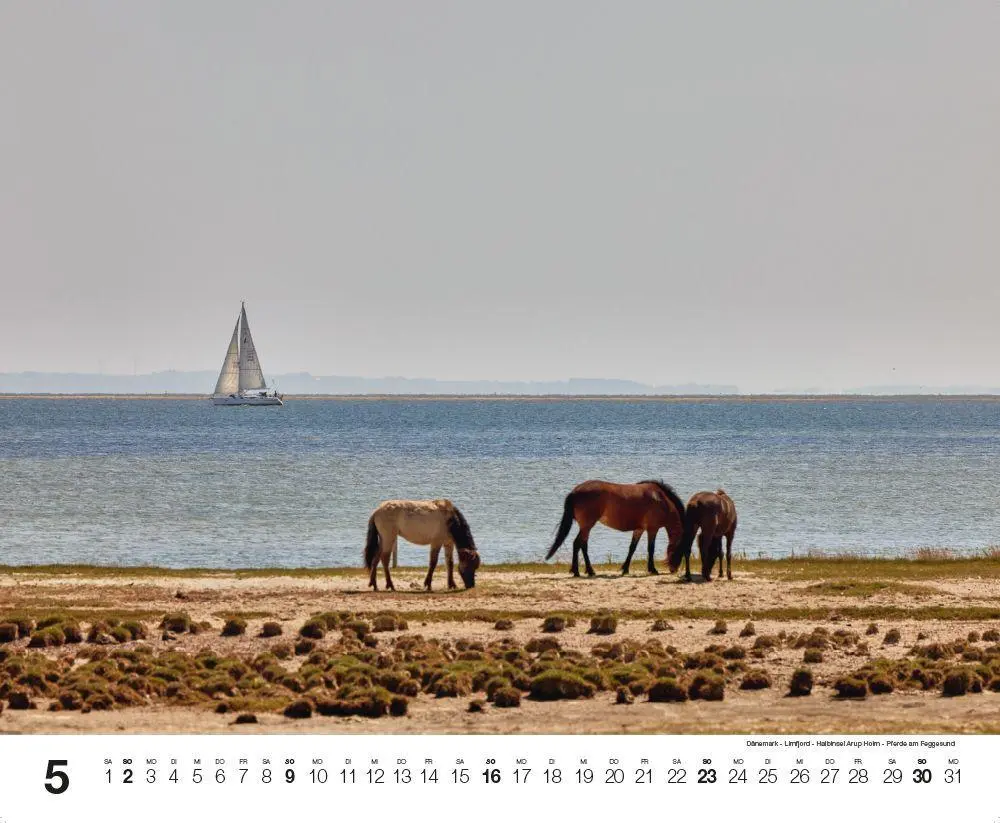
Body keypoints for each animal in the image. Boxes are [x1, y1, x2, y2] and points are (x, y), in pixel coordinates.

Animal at [543, 480, 689, 577]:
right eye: (681, 550)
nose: (673, 569)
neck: (661, 500)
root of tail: (574, 492)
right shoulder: (652, 529)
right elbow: (651, 549)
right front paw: (652, 569)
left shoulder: (639, 529)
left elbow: (632, 548)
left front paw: (625, 569)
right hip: (587, 525)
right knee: (578, 544)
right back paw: (579, 571)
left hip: (586, 527)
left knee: (582, 544)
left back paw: (587, 571)